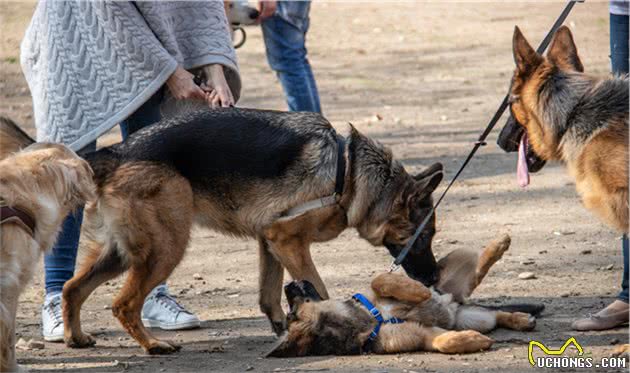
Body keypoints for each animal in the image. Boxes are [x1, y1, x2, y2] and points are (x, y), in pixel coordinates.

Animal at [1, 108, 444, 354]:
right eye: (425, 236)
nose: (434, 279)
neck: (350, 172)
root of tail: (118, 150)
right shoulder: (290, 241)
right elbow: (317, 287)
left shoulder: (271, 241)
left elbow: (269, 295)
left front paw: (284, 327)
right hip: (166, 249)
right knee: (123, 304)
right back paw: (154, 346)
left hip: (122, 253)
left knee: (74, 287)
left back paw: (76, 338)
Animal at [270, 234, 540, 356]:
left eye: (291, 307)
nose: (288, 285)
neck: (364, 321)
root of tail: (455, 302)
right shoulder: (421, 335)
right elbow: (443, 342)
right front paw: (473, 341)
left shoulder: (378, 290)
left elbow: (380, 280)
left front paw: (418, 292)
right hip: (471, 318)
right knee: (491, 309)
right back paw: (520, 319)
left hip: (457, 272)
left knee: (479, 267)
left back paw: (498, 245)